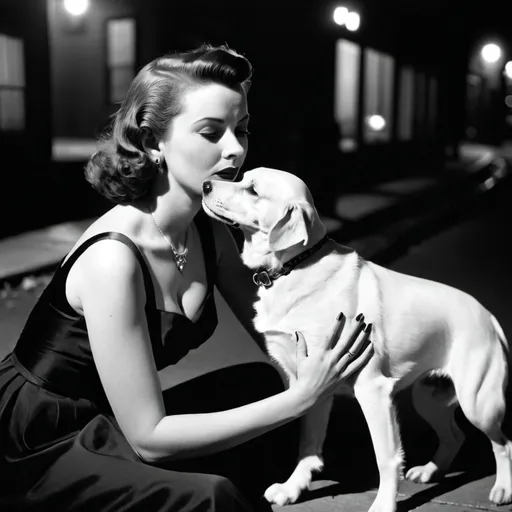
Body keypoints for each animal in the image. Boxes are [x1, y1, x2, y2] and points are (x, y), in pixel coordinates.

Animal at [202, 168, 510, 512]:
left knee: (503, 443)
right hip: (429, 396)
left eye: (253, 190)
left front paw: (384, 504)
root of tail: (487, 314)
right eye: (241, 177)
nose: (205, 184)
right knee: (455, 436)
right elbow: (308, 445)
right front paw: (293, 487)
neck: (294, 267)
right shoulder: (310, 386)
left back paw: (502, 488)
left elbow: (387, 459)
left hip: (478, 403)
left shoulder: (372, 389)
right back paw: (431, 470)